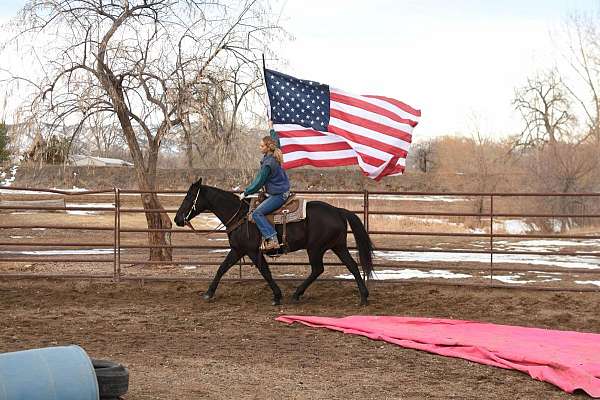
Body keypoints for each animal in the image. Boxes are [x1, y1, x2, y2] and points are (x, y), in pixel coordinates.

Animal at [172, 177, 376, 304]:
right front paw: (209, 293)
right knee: (352, 265)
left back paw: (297, 294)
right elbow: (222, 268)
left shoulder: (252, 251)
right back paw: (363, 297)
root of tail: (338, 210)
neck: (239, 215)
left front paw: (277, 296)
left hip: (315, 248)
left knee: (318, 269)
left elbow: (265, 272)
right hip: (337, 246)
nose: (177, 219)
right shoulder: (238, 250)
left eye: (189, 197)